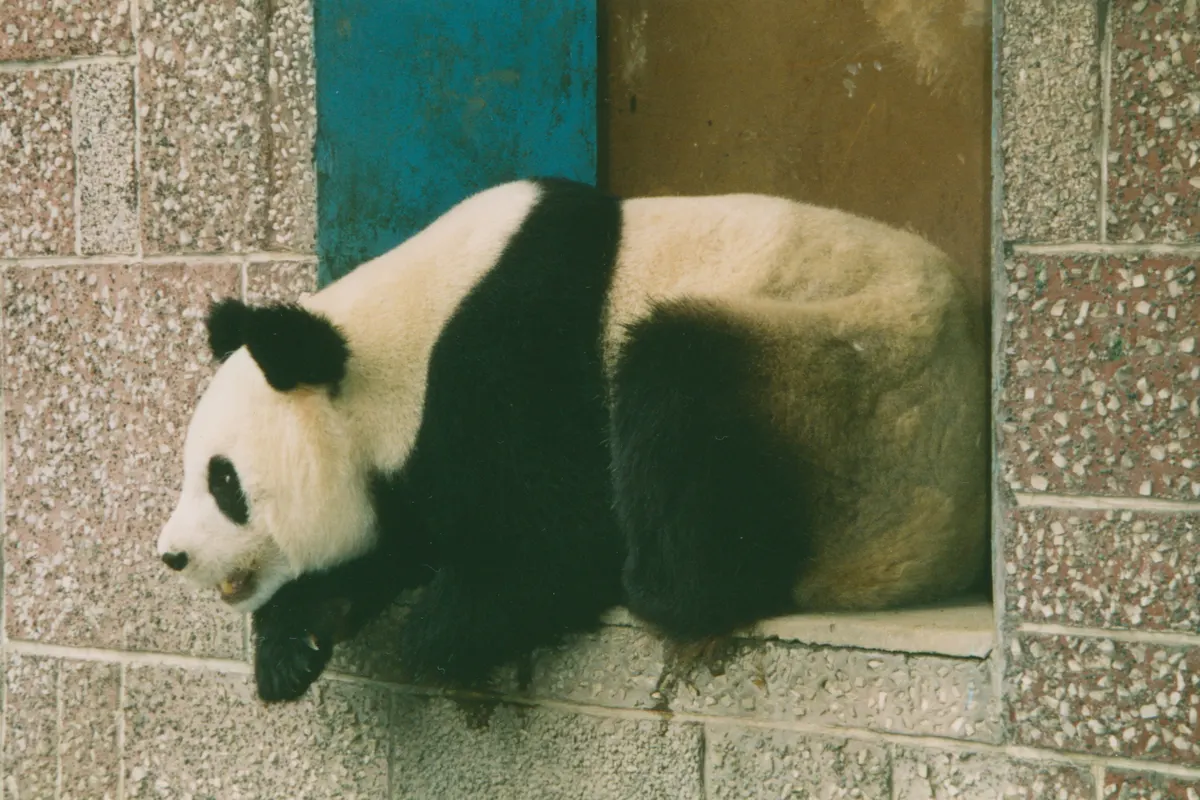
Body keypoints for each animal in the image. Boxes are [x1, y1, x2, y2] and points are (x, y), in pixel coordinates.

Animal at [155, 178, 988, 703]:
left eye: (223, 481)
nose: (173, 556)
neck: (391, 350)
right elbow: (398, 537)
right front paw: (292, 645)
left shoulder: (513, 364)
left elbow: (558, 535)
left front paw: (444, 626)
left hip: (845, 389)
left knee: (681, 375)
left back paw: (658, 587)